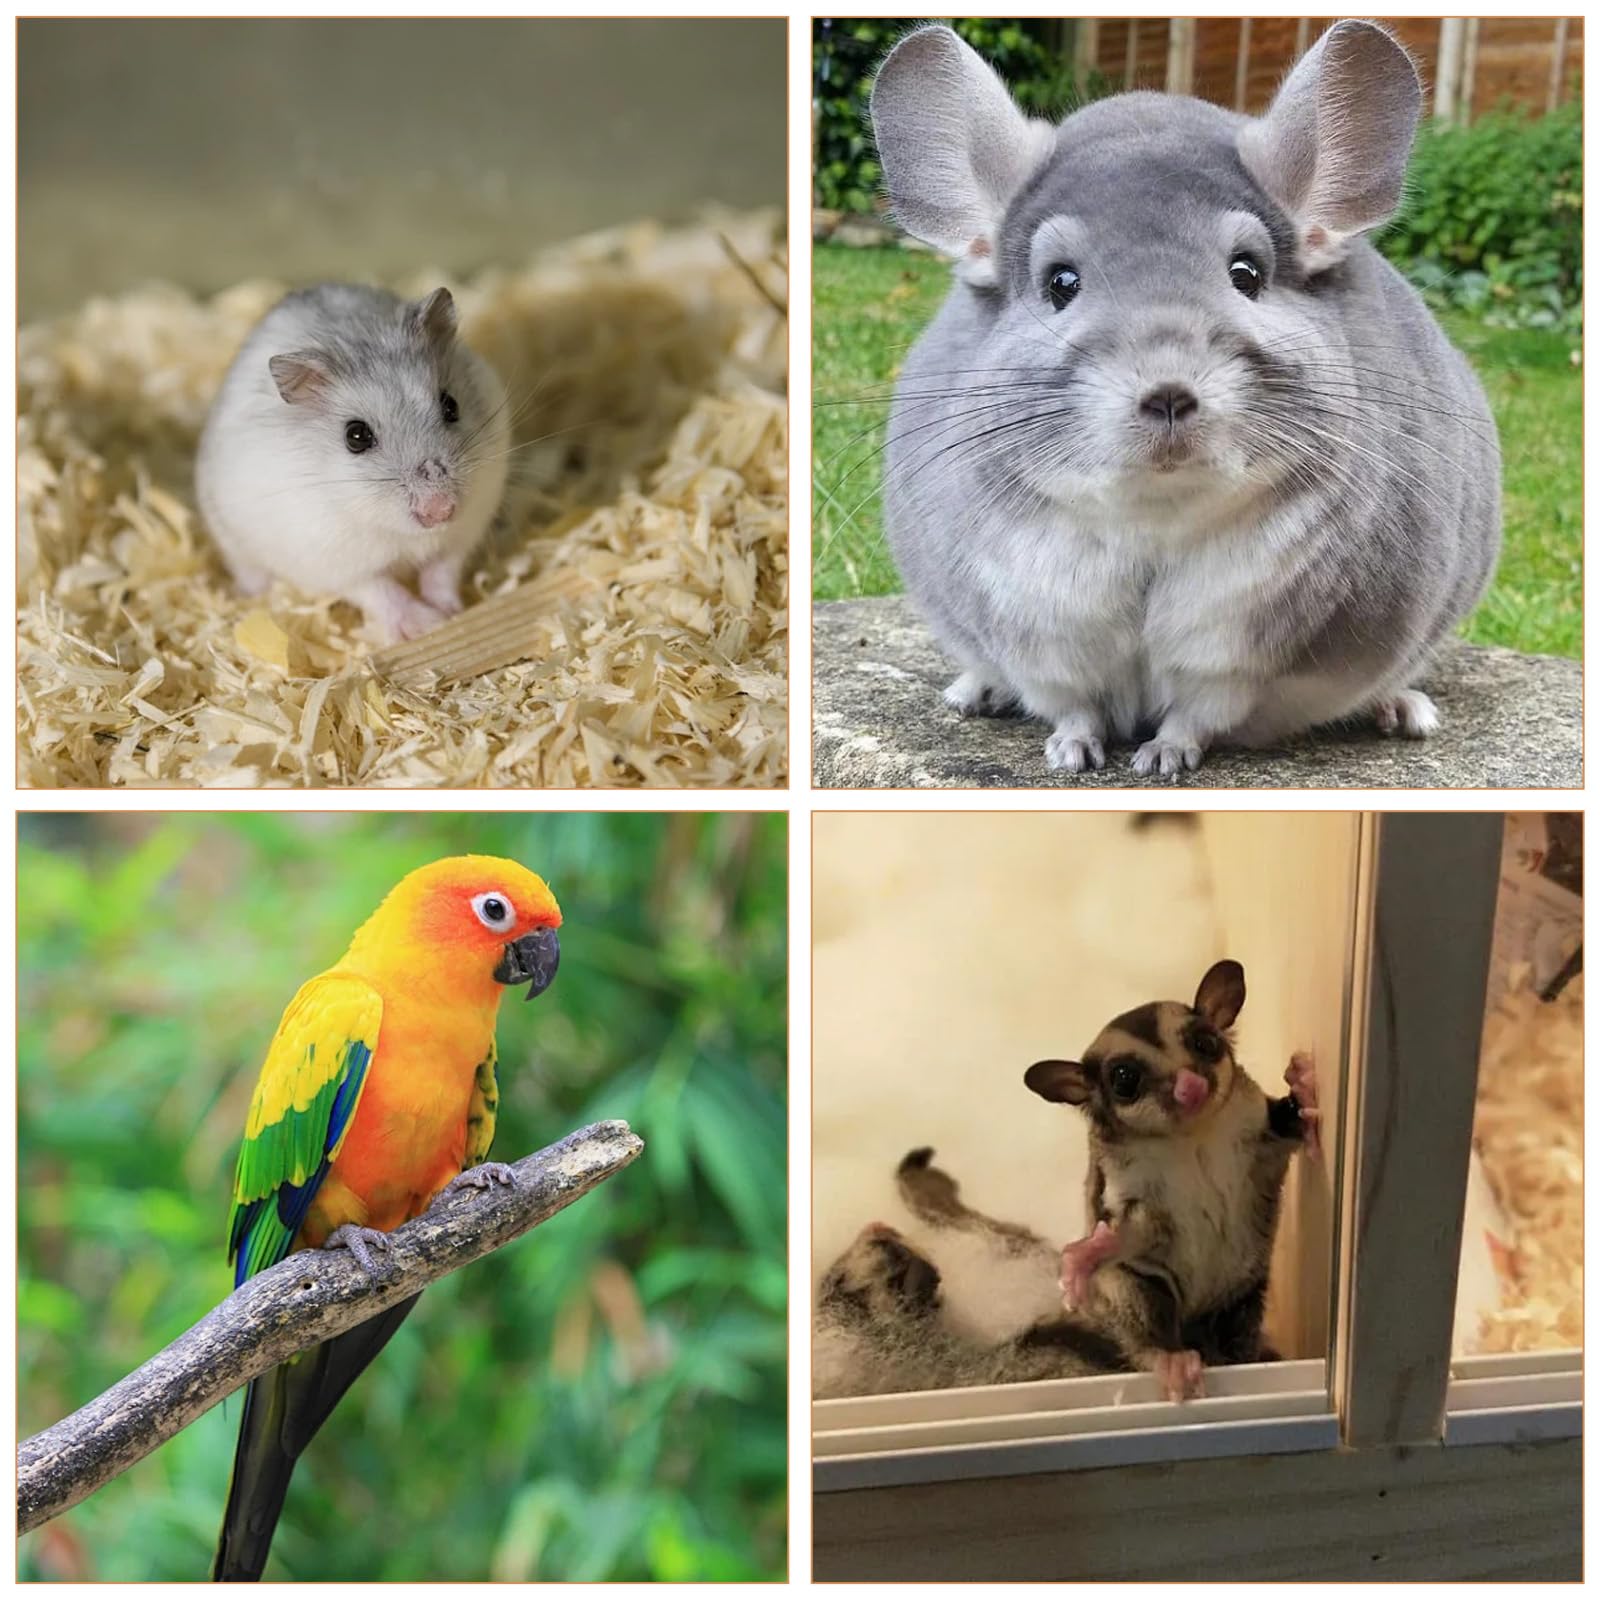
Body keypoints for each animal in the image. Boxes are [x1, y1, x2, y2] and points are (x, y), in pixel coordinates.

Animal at [196, 284, 510, 643]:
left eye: (451, 405)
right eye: (356, 436)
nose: (440, 511)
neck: (400, 532)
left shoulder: (465, 529)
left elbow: (442, 569)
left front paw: (450, 611)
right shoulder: (334, 563)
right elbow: (381, 590)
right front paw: (427, 624)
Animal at [869, 22, 1501, 775]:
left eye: (1246, 274)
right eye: (1060, 283)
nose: (1168, 392)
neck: (1155, 517)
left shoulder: (1232, 658)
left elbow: (1195, 716)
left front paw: (1160, 760)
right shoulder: (1042, 640)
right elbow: (1072, 705)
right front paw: (1071, 755)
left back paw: (1403, 710)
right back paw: (973, 693)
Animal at [1023, 960, 1319, 1400]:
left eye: (1205, 1043)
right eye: (1124, 1079)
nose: (1191, 1086)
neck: (1189, 1138)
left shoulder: (1256, 1128)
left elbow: (1285, 1125)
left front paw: (1303, 1084)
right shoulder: (1131, 1185)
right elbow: (1130, 1233)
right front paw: (1087, 1255)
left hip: (1240, 1293)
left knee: (1238, 1324)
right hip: (1135, 1290)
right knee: (1143, 1303)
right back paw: (1173, 1360)